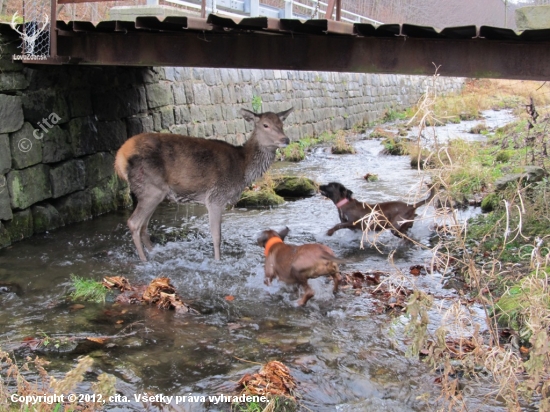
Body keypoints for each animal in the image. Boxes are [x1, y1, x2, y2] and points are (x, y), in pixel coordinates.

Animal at [115, 106, 296, 260]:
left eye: (281, 124)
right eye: (265, 125)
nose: (285, 139)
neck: (243, 169)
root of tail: (120, 158)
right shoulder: (216, 197)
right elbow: (217, 236)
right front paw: (218, 261)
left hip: (153, 193)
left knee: (144, 226)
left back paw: (154, 253)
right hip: (150, 188)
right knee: (134, 223)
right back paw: (144, 260)